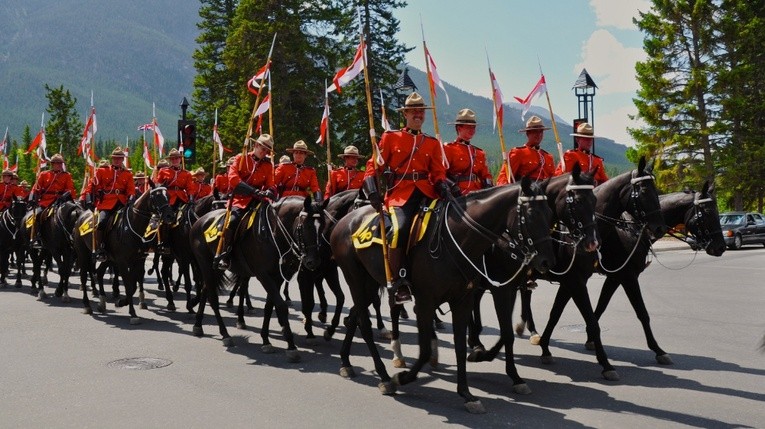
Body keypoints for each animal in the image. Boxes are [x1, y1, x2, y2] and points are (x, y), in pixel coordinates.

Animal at [191, 196, 326, 360]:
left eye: (323, 226)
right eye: (305, 226)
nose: (314, 262)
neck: (273, 232)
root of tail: (200, 220)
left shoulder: (278, 276)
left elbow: (269, 306)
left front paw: (266, 340)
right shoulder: (263, 275)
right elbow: (281, 305)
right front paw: (291, 345)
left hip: (213, 269)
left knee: (206, 290)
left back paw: (198, 324)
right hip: (205, 264)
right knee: (213, 298)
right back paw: (225, 334)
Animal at [332, 176, 552, 412]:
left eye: (549, 213)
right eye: (531, 214)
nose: (546, 261)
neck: (458, 237)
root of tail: (345, 220)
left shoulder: (468, 299)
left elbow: (467, 344)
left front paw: (467, 392)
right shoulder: (428, 301)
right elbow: (425, 350)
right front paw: (404, 377)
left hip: (371, 283)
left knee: (355, 316)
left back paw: (346, 361)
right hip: (356, 279)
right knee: (365, 323)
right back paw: (384, 376)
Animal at [584, 180, 728, 362]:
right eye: (707, 212)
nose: (721, 247)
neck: (634, 230)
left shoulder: (615, 277)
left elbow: (601, 306)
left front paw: (590, 338)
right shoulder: (628, 277)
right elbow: (642, 313)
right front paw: (658, 349)